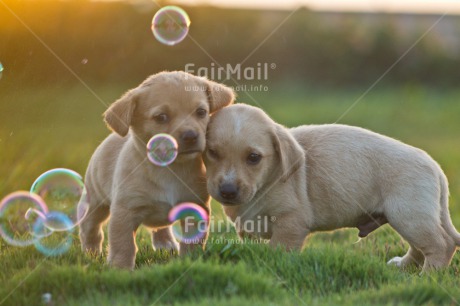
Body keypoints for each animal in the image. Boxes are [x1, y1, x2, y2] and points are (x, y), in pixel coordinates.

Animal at [78, 71, 234, 268]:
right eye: (161, 117)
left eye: (201, 112)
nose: (190, 136)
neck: (169, 168)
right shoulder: (124, 212)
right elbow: (123, 245)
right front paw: (120, 269)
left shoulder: (195, 209)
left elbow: (192, 242)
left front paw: (190, 260)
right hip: (95, 203)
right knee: (90, 230)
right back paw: (91, 254)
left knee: (161, 229)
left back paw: (166, 245)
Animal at [206, 104, 460, 272]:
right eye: (212, 153)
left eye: (254, 158)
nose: (228, 190)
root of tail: (435, 167)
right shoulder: (247, 228)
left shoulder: (291, 223)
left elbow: (278, 251)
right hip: (410, 218)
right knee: (420, 248)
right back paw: (404, 267)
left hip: (408, 215)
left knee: (441, 245)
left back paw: (428, 276)